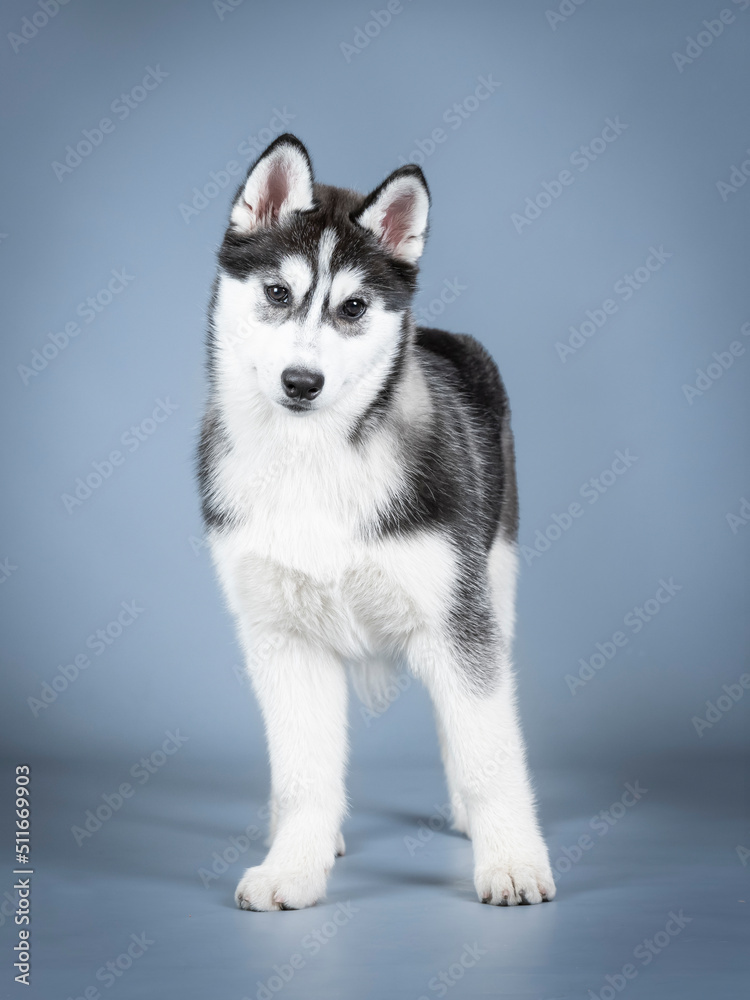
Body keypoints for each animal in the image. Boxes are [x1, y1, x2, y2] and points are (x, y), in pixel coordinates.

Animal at [200, 135, 560, 916]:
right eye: (278, 293)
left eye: (354, 307)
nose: (301, 383)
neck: (311, 460)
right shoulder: (282, 638)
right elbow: (303, 770)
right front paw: (294, 864)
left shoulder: (457, 622)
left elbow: (489, 753)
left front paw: (512, 860)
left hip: (493, 582)